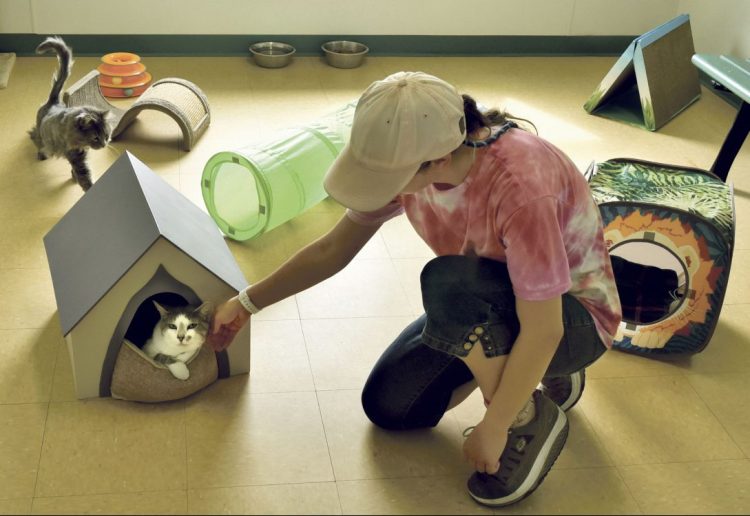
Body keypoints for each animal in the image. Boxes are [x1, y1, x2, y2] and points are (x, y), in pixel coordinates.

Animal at [27, 35, 111, 191]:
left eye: (106, 136)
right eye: (96, 138)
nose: (104, 145)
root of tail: (53, 101)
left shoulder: (79, 157)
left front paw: (74, 178)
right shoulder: (76, 157)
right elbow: (85, 178)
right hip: (41, 136)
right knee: (36, 139)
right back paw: (41, 153)